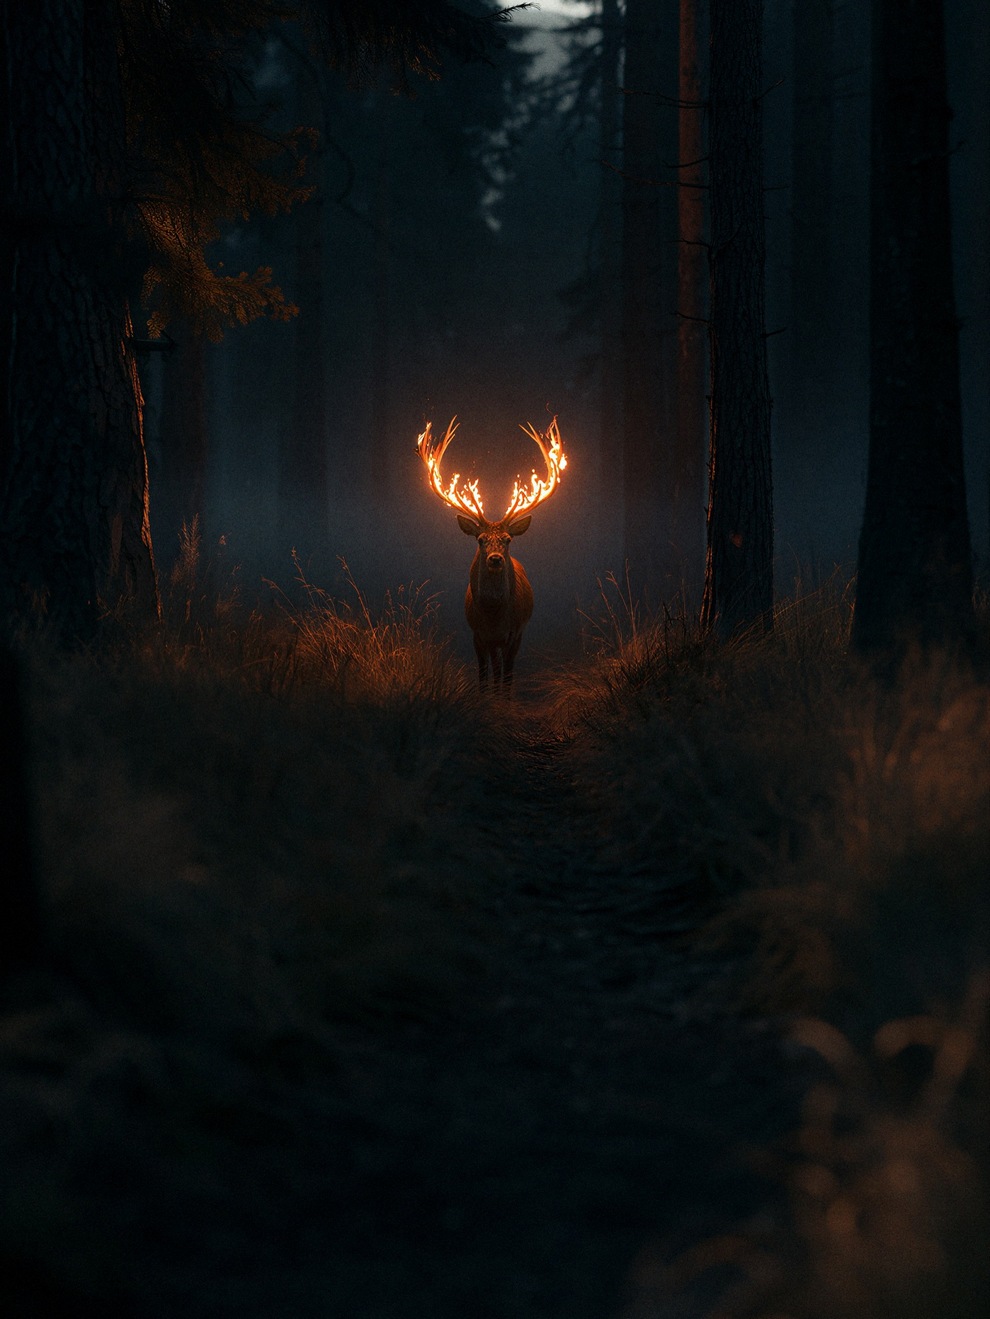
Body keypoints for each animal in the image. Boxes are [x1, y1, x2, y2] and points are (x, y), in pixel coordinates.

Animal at [417, 415, 567, 691]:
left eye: (507, 540)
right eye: (480, 539)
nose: (495, 558)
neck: (493, 614)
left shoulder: (513, 632)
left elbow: (505, 674)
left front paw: (503, 699)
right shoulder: (477, 634)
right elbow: (483, 673)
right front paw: (485, 697)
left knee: (506, 668)